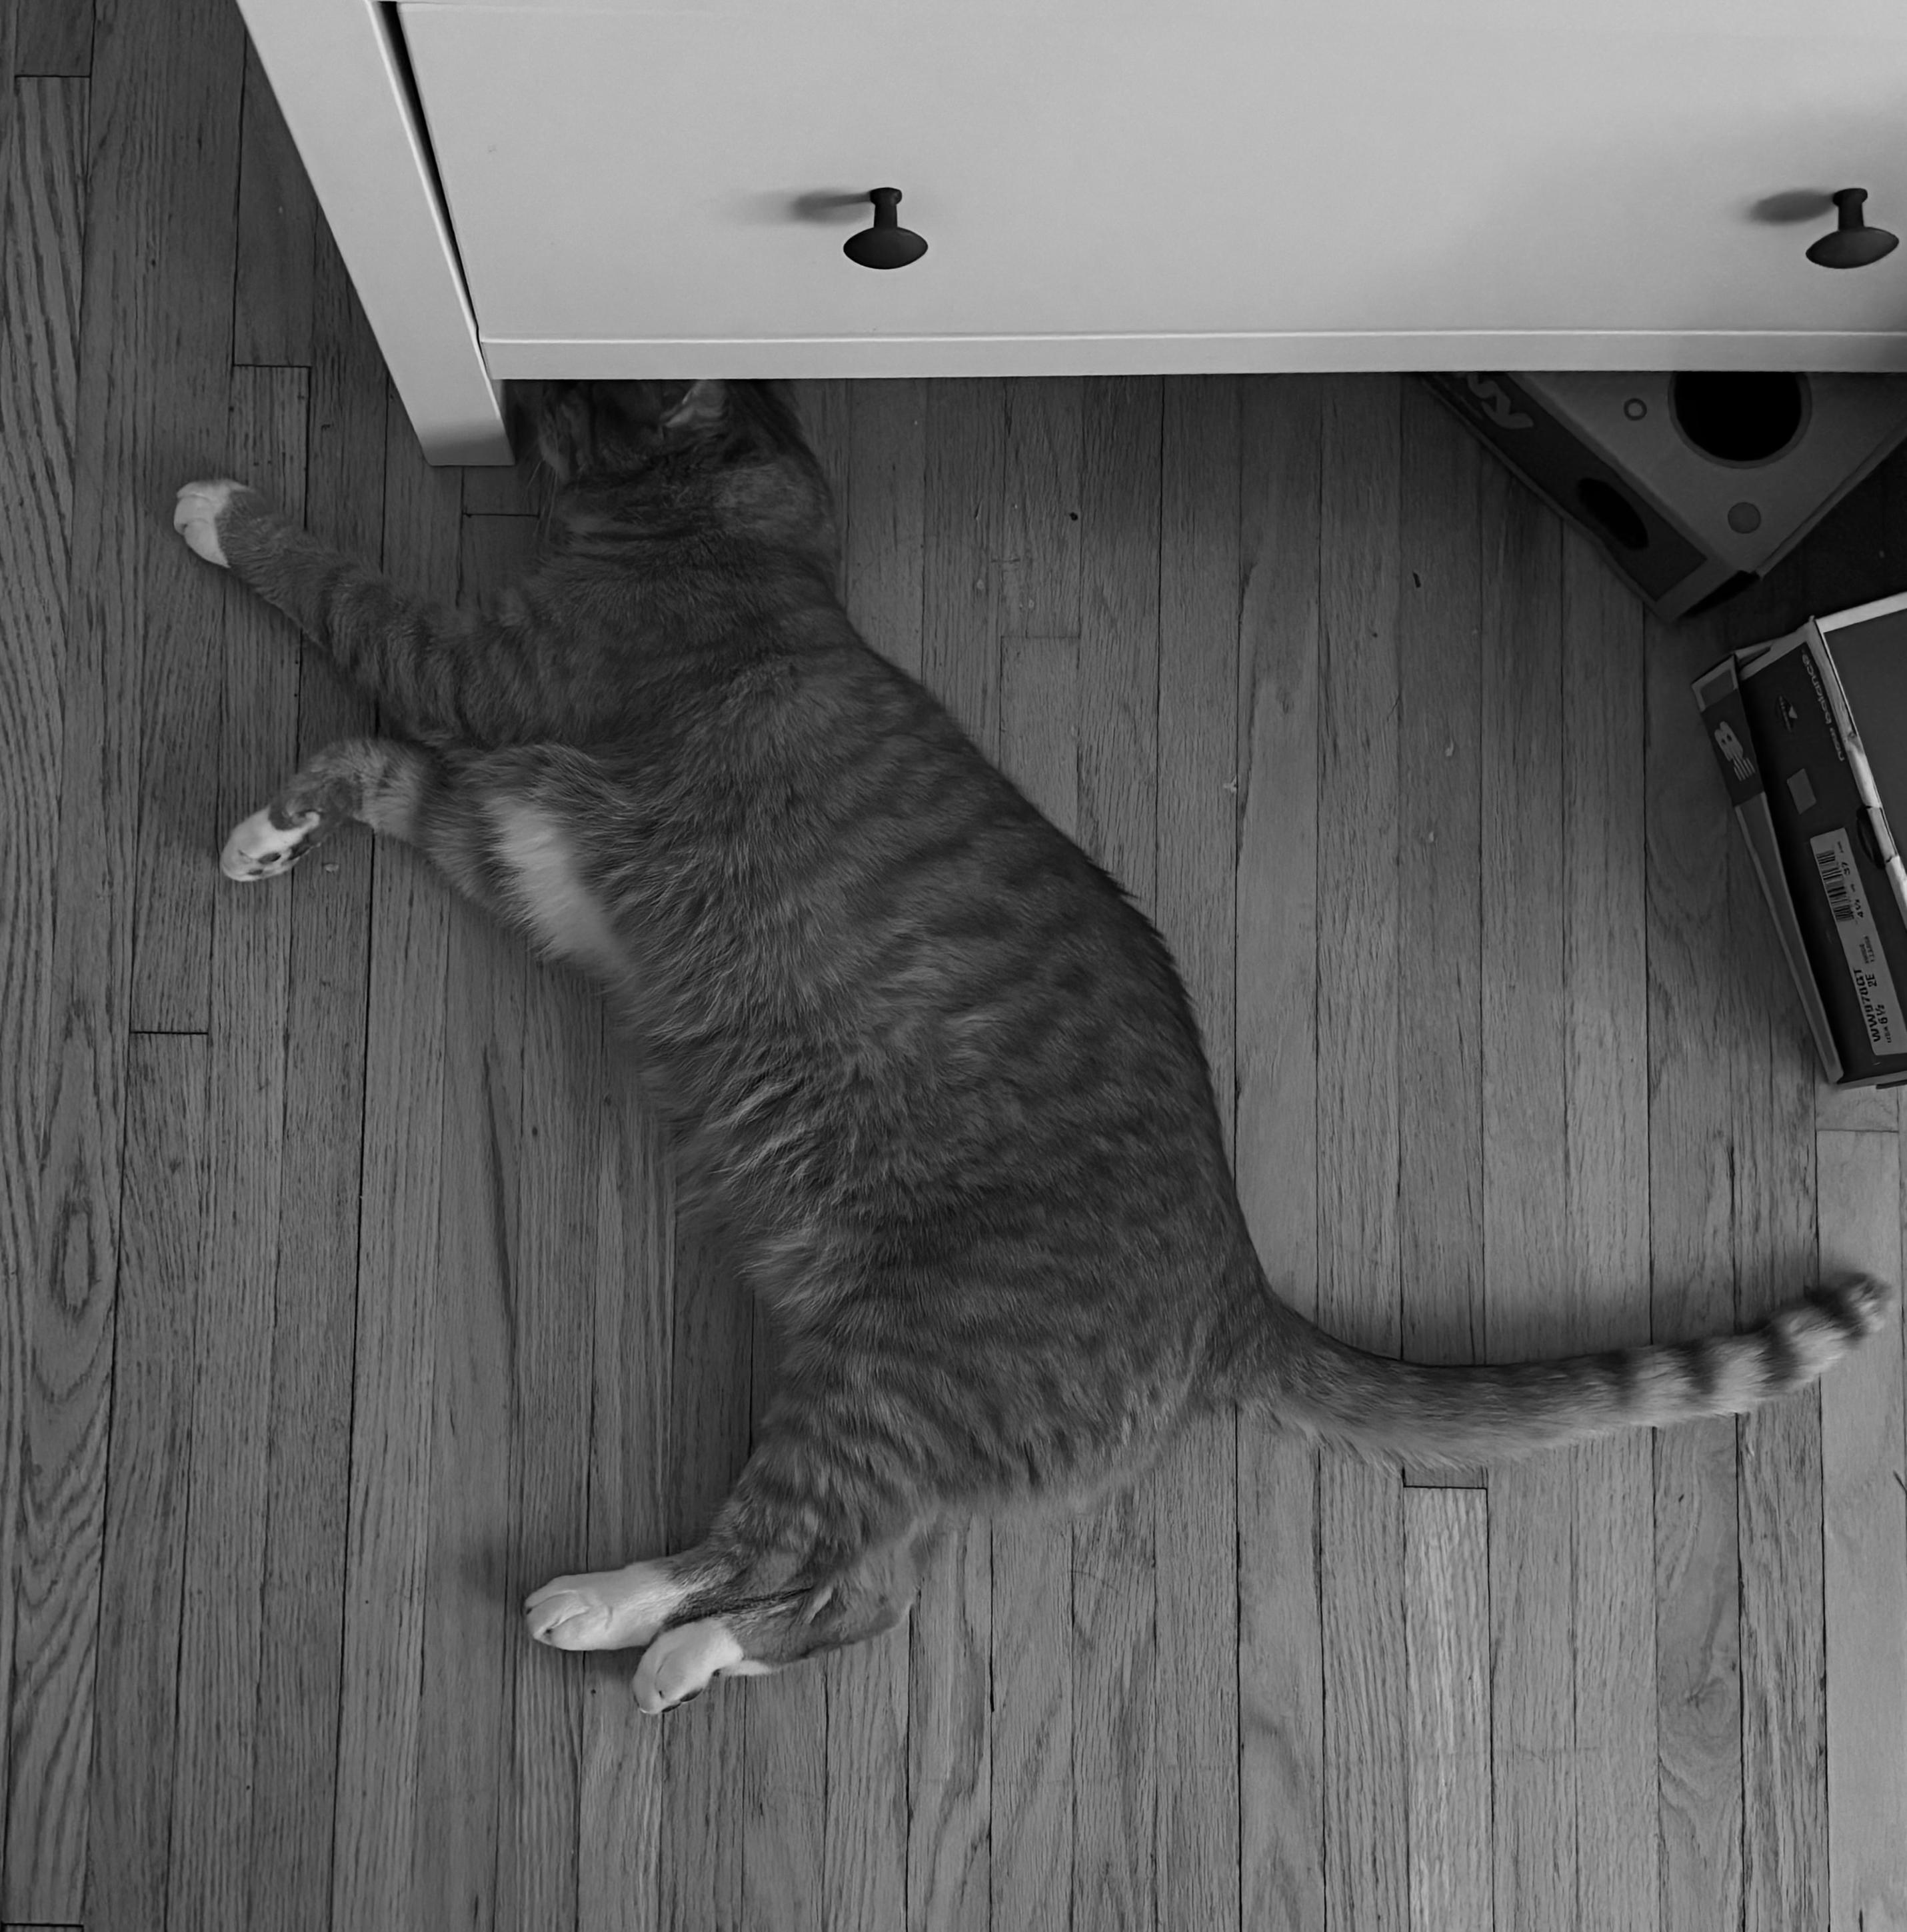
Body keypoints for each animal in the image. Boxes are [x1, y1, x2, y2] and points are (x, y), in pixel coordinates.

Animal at [174, 377, 1896, 1716]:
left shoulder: (484, 676)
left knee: (816, 1569)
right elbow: (366, 769)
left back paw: (625, 1621)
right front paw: (271, 834)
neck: (752, 546)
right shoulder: (505, 832)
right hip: (879, 1388)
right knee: (860, 1581)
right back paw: (656, 1634)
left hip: (885, 1365)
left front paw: (218, 508)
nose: (518, 387)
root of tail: (1234, 1285)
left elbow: (339, 593)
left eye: (573, 394)